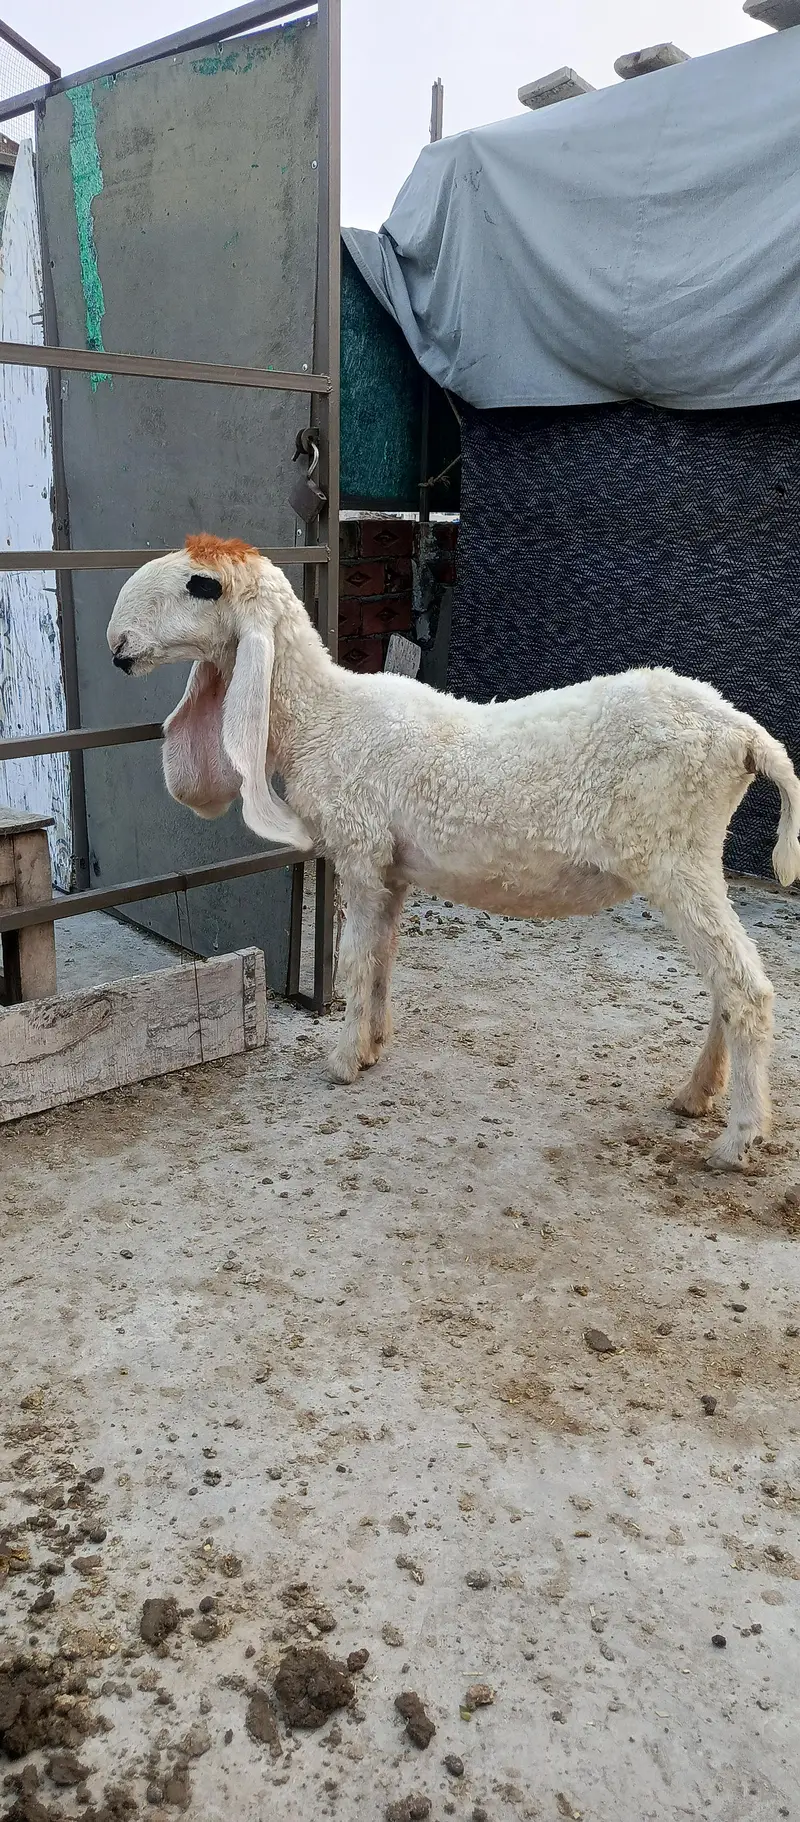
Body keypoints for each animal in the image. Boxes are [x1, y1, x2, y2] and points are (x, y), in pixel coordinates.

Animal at [107, 533, 800, 1170]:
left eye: (202, 586)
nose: (117, 648)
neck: (323, 718)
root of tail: (743, 733)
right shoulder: (391, 868)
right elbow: (383, 957)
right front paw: (373, 1045)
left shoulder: (359, 849)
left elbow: (355, 959)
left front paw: (341, 1062)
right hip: (697, 856)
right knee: (726, 983)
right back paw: (696, 1096)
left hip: (674, 856)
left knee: (745, 988)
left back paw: (737, 1140)